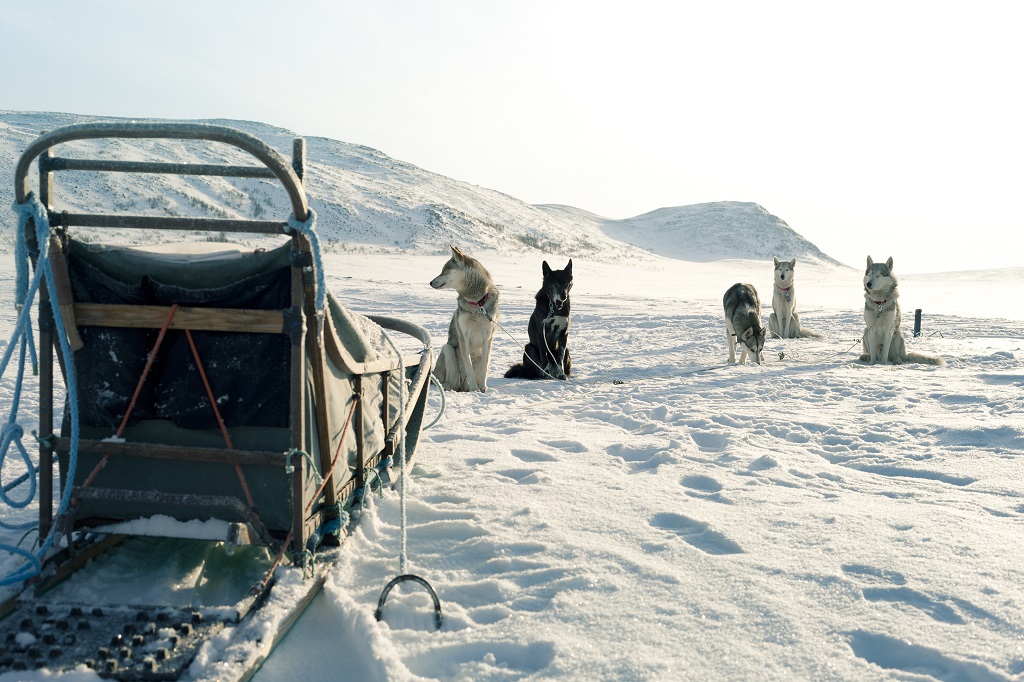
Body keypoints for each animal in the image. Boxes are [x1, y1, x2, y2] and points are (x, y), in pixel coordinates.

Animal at [428, 246, 499, 391]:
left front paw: (483, 389)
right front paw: (474, 389)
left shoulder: (488, 338)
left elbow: (484, 368)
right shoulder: (463, 337)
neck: (477, 303)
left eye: (444, 270)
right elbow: (469, 367)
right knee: (447, 382)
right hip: (448, 349)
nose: (430, 282)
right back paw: (448, 386)